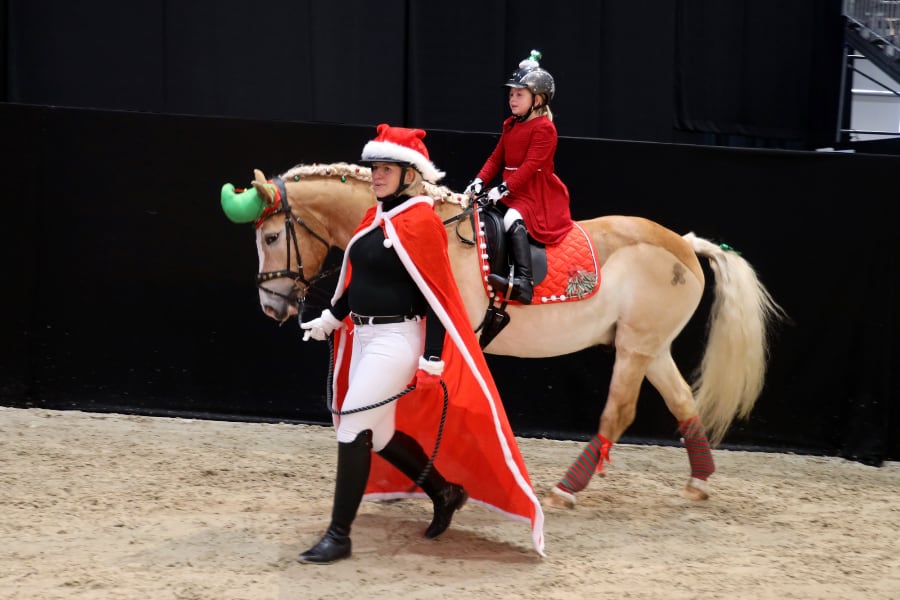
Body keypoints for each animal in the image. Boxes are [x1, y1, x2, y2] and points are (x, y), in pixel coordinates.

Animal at [221, 162, 785, 507]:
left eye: (271, 236)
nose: (271, 306)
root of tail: (685, 245)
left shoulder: (448, 336)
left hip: (635, 348)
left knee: (618, 413)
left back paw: (565, 489)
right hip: (651, 347)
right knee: (683, 401)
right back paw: (697, 481)